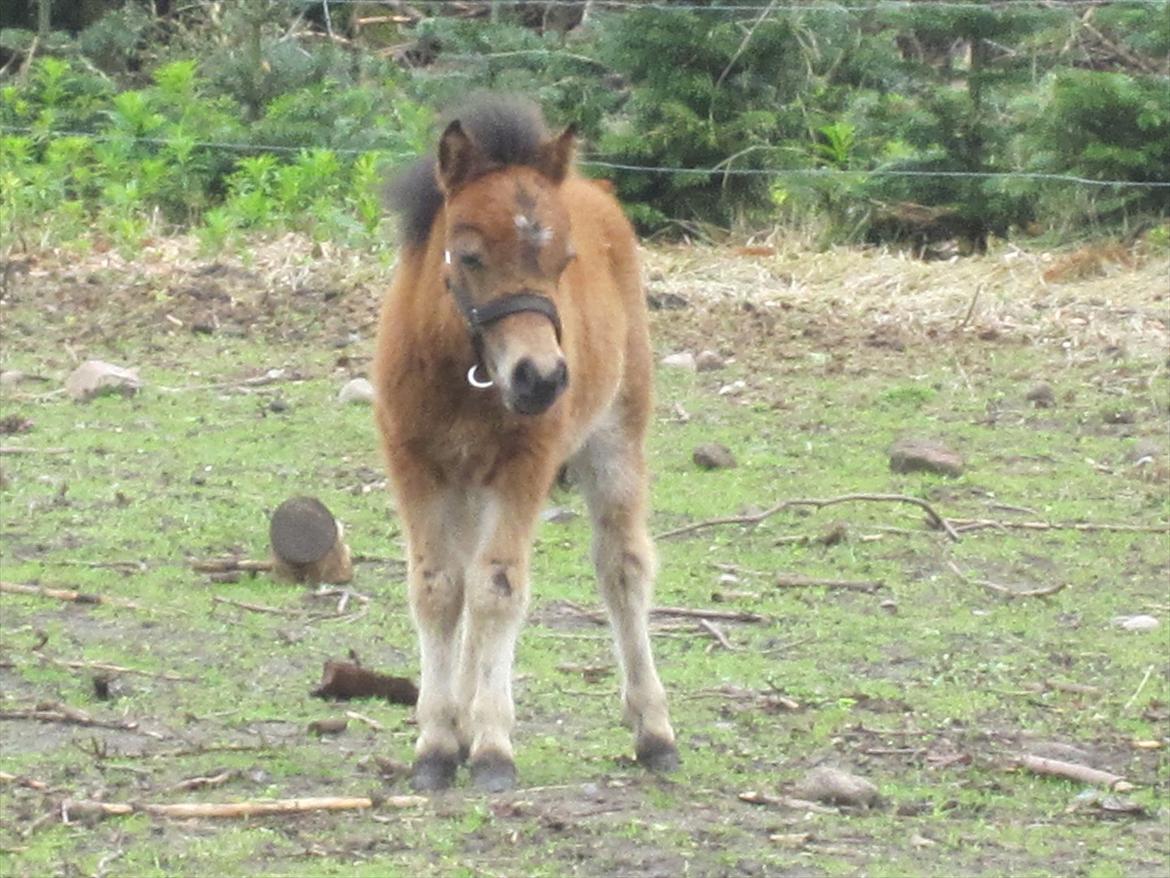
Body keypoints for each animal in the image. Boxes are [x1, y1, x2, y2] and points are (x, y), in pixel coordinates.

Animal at [374, 97, 678, 796]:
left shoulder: (523, 468)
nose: (540, 378)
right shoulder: (415, 466)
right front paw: (437, 746)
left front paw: (492, 749)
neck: (464, 378)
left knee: (622, 565)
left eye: (564, 260)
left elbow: (498, 587)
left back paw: (655, 734)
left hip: (616, 438)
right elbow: (439, 588)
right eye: (469, 255)